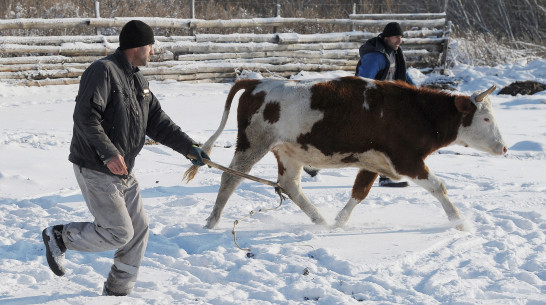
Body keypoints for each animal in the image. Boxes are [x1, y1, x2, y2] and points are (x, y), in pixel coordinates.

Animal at [183, 75, 506, 228]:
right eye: (486, 119)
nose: (503, 147)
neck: (416, 112)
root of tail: (257, 82)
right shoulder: (406, 160)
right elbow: (440, 186)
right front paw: (459, 222)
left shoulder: (374, 161)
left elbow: (359, 191)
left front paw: (338, 222)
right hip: (253, 143)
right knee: (230, 179)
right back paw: (212, 221)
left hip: (288, 152)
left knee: (290, 185)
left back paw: (320, 221)